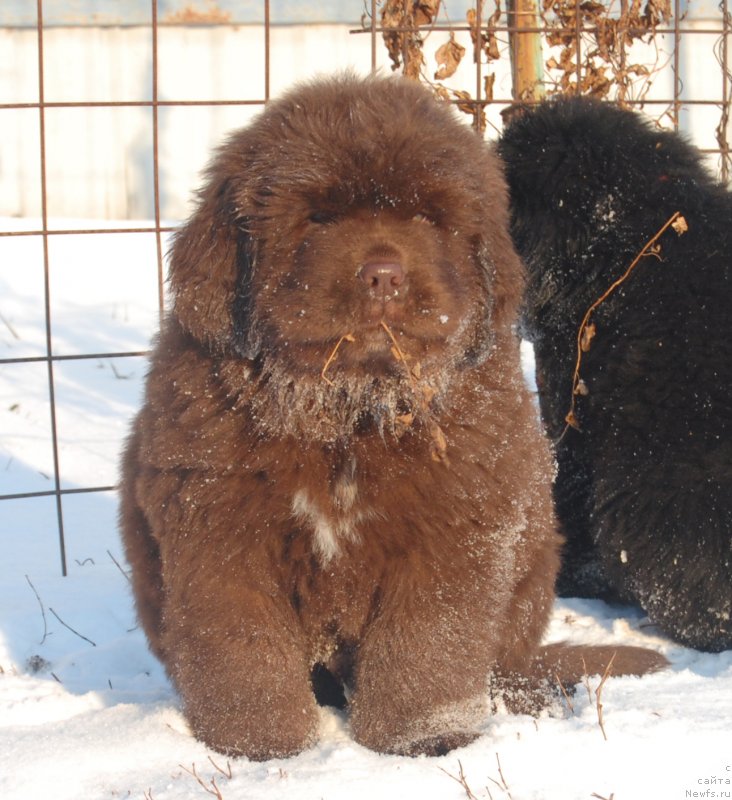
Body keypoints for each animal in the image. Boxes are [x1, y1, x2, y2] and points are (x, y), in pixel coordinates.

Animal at [120, 73, 664, 756]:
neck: (349, 413)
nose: (383, 275)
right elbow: (242, 648)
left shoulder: (453, 530)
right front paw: (262, 748)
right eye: (319, 215)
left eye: (428, 218)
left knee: (505, 665)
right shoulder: (219, 528)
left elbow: (424, 645)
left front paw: (421, 739)